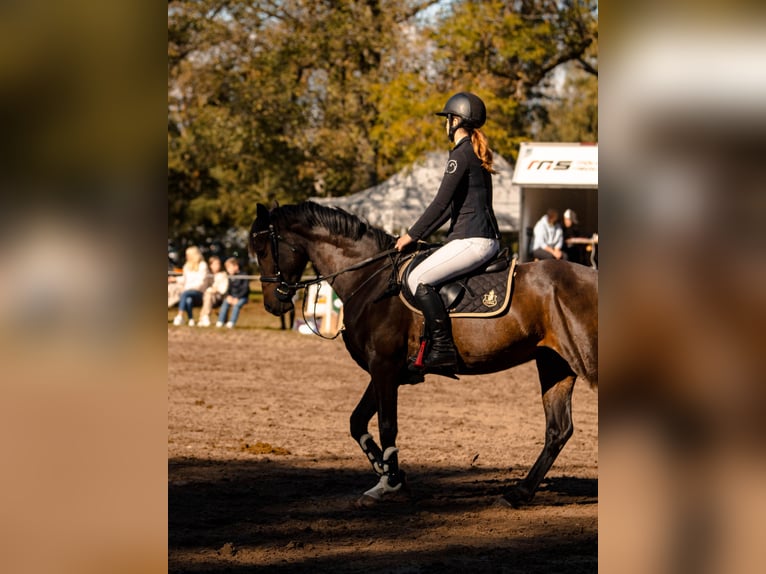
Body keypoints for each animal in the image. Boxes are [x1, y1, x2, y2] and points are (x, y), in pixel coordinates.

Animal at [252, 202, 600, 508]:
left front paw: (390, 483)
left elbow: (387, 425)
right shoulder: (386, 370)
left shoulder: (384, 368)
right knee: (558, 430)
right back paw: (517, 494)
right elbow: (357, 422)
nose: (273, 304)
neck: (370, 279)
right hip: (555, 364)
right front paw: (391, 477)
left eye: (264, 250)